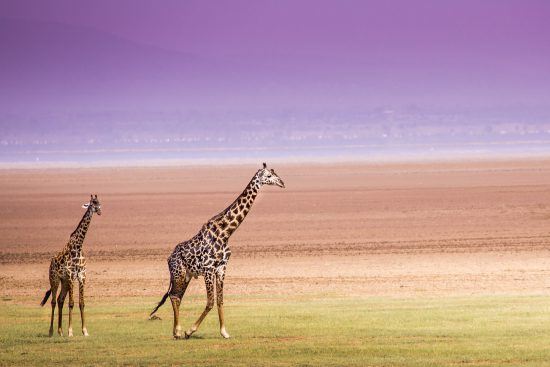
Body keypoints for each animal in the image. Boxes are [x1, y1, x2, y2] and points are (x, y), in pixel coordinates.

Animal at [41, 194, 102, 338]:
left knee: (60, 300)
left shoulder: (81, 276)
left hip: (64, 282)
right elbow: (71, 303)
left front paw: (84, 330)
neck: (78, 246)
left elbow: (81, 303)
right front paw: (70, 331)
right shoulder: (71, 275)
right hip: (55, 279)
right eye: (92, 203)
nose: (99, 211)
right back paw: (51, 331)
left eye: (99, 202)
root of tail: (51, 262)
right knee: (53, 301)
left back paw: (60, 331)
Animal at [152, 162, 286, 340]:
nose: (282, 183)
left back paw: (176, 331)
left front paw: (224, 332)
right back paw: (178, 331)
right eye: (269, 176)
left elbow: (220, 300)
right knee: (174, 296)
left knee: (177, 297)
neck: (225, 233)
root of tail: (169, 257)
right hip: (178, 273)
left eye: (275, 173)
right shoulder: (209, 269)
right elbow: (210, 302)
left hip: (187, 275)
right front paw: (190, 330)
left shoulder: (221, 268)